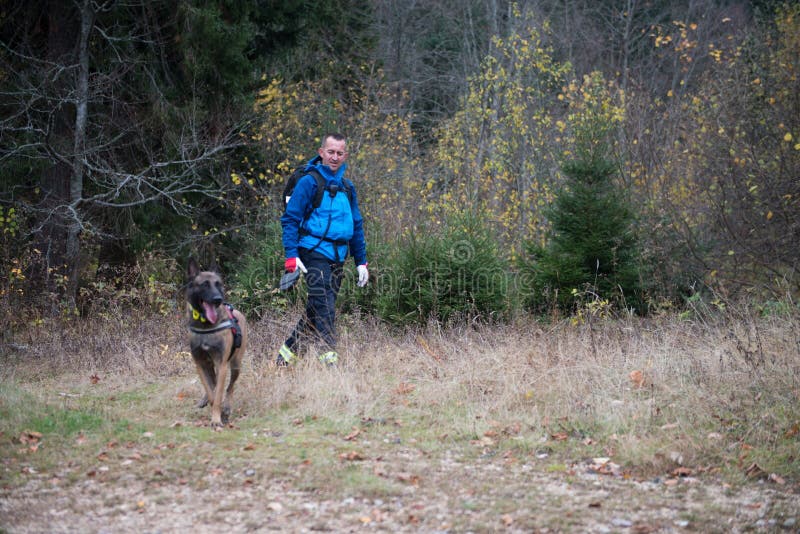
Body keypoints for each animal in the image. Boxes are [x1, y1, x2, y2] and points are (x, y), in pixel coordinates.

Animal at [187, 258, 247, 430]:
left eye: (218, 284)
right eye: (204, 284)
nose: (218, 299)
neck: (205, 326)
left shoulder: (222, 365)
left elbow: (220, 392)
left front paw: (217, 418)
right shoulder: (200, 364)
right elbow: (210, 390)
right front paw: (211, 404)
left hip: (235, 365)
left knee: (230, 387)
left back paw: (227, 407)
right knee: (213, 385)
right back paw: (205, 400)